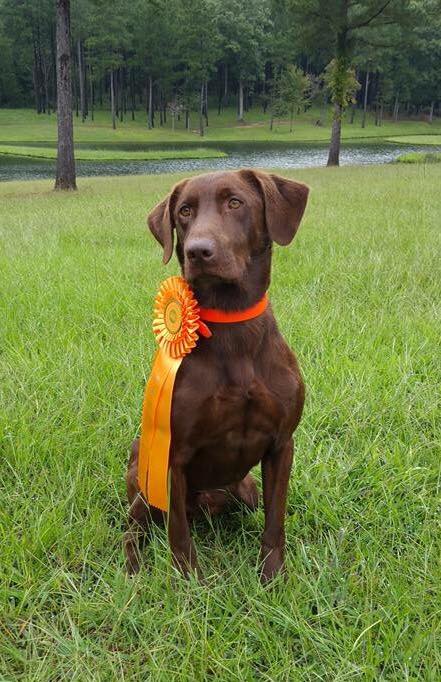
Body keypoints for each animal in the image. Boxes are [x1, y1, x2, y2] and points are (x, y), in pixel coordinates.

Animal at [124, 169, 310, 580]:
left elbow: (275, 520)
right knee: (135, 526)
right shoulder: (172, 455)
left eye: (235, 202)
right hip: (141, 475)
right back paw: (131, 567)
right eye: (184, 211)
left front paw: (272, 575)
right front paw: (188, 580)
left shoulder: (281, 444)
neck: (232, 329)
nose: (198, 251)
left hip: (245, 488)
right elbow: (178, 532)